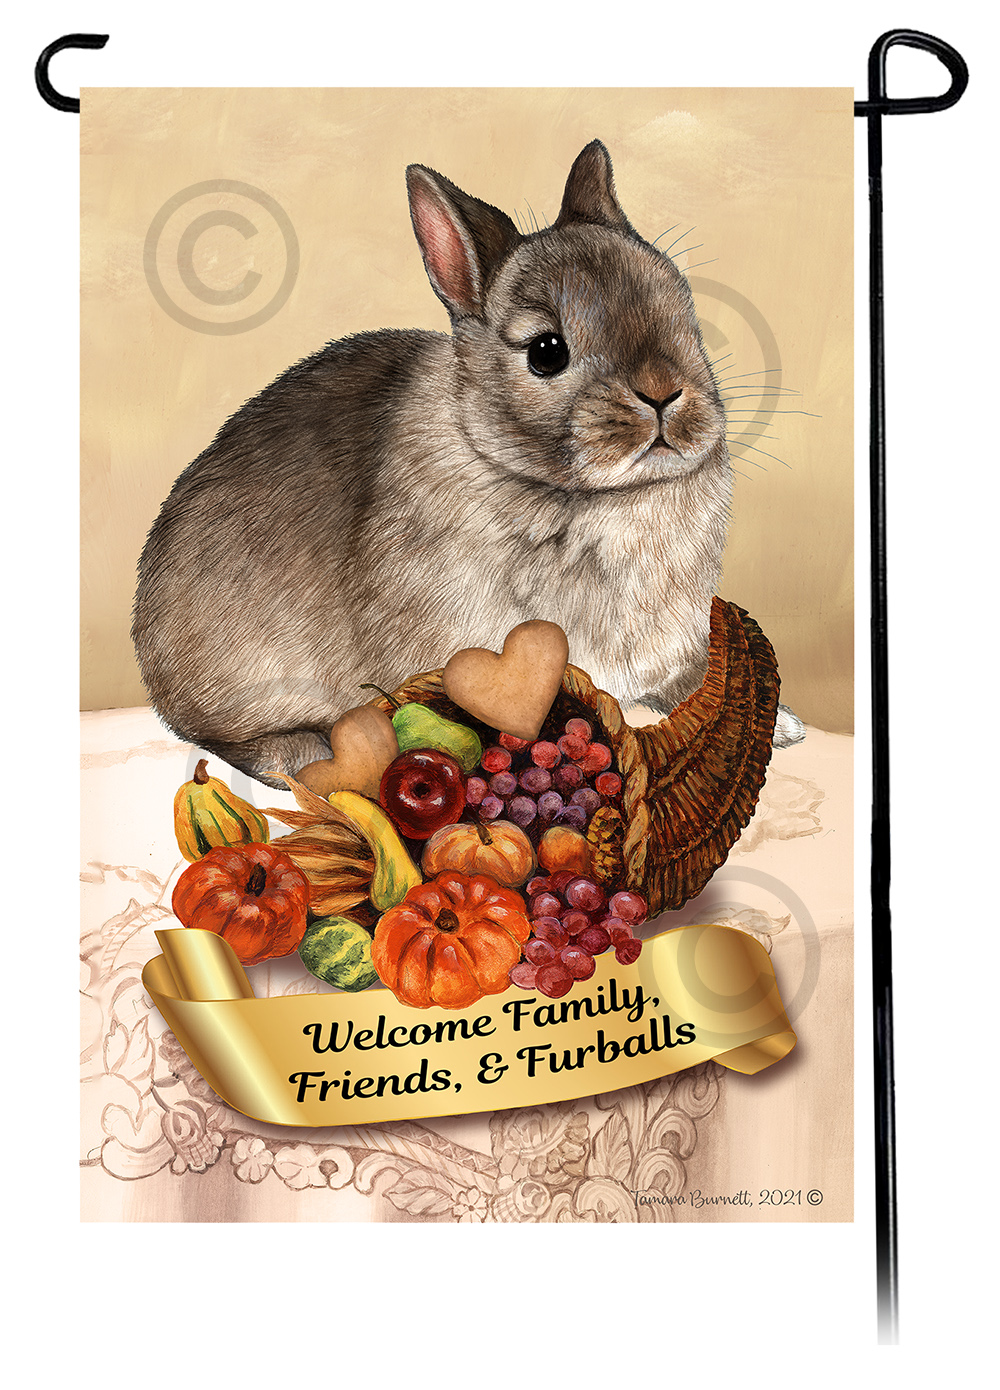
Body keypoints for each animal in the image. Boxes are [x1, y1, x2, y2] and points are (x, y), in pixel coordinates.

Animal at [133, 139, 804, 789]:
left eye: (685, 314)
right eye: (546, 351)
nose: (664, 392)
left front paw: (784, 727)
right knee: (220, 737)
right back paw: (302, 756)